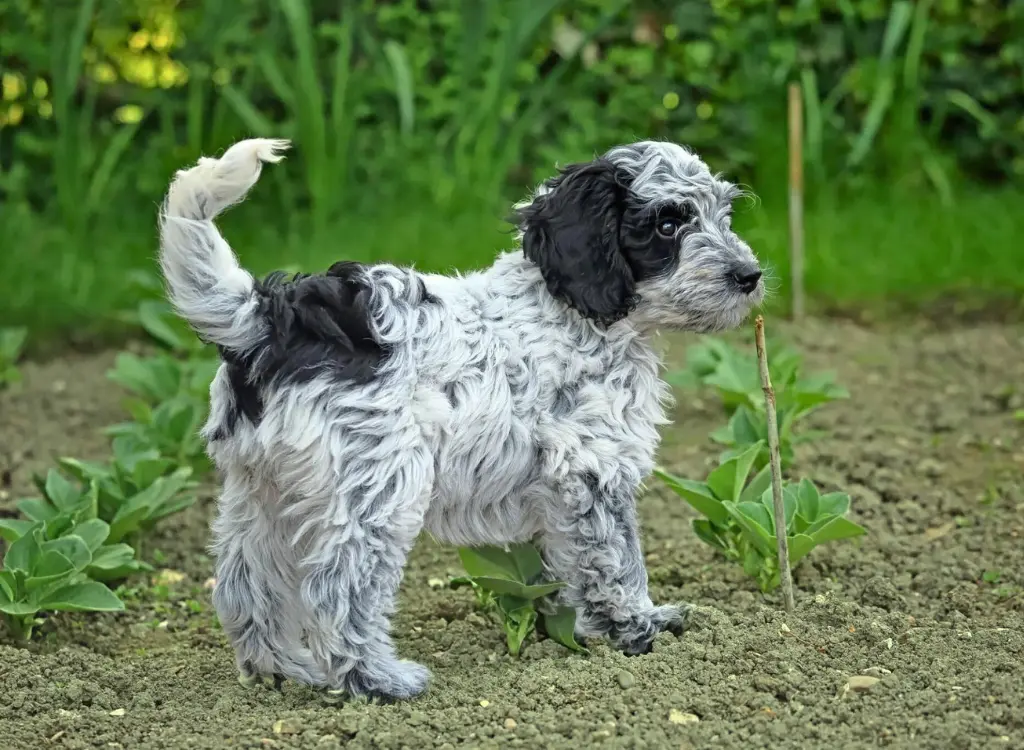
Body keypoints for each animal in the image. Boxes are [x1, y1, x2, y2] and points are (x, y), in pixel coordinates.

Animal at [159, 137, 765, 700]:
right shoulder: (592, 467)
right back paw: (375, 680)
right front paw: (639, 626)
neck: (576, 313)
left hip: (263, 489)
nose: (750, 275)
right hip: (377, 487)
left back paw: (280, 669)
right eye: (668, 224)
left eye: (723, 215)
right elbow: (617, 557)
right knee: (339, 587)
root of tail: (268, 320)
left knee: (243, 582)